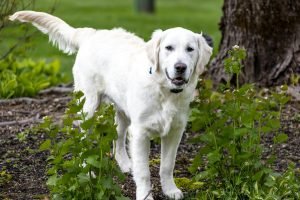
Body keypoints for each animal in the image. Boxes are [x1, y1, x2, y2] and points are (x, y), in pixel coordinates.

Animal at [8, 11, 211, 200]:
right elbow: (144, 172)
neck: (165, 91)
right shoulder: (140, 132)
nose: (180, 67)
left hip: (122, 110)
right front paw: (145, 195)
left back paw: (126, 164)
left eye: (190, 49)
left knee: (118, 138)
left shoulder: (175, 130)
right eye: (169, 48)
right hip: (88, 106)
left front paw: (170, 190)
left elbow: (167, 165)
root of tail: (92, 33)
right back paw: (88, 171)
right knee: (84, 140)